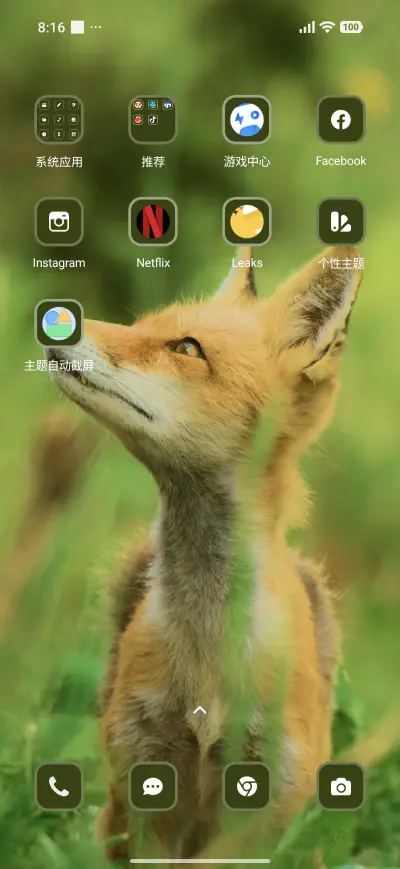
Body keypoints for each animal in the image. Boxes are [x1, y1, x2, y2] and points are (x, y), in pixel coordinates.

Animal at [46, 244, 362, 860]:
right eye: (142, 325)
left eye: (186, 348)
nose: (55, 321)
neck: (207, 659)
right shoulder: (148, 779)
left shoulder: (259, 808)